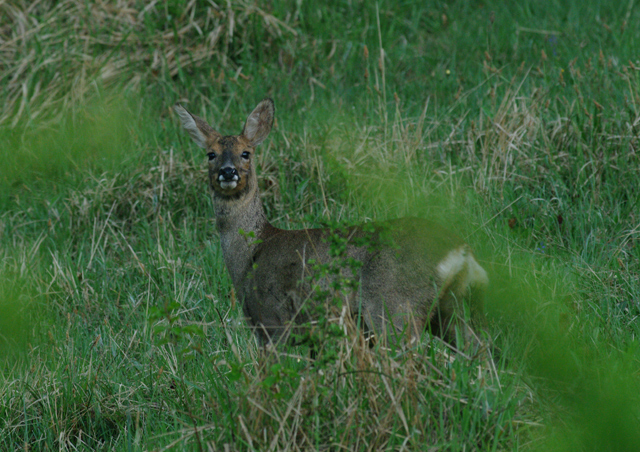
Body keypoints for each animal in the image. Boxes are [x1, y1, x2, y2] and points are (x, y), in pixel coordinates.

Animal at [174, 98, 489, 350]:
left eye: (246, 153)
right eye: (211, 154)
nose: (228, 172)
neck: (252, 251)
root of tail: (460, 251)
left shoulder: (272, 320)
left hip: (393, 303)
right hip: (447, 309)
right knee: (479, 350)